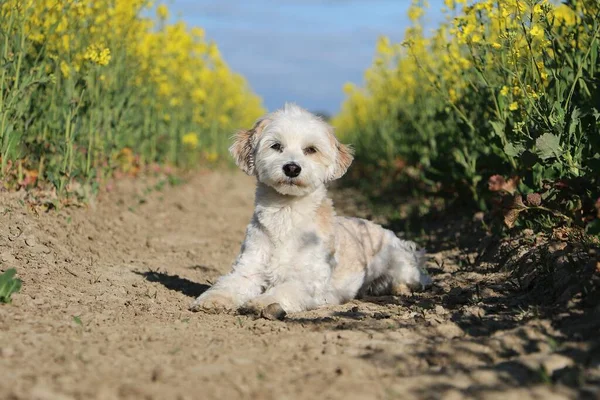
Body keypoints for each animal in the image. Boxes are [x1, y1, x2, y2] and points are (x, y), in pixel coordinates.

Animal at [190, 103, 428, 318]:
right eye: (276, 146)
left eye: (311, 150)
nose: (292, 167)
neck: (286, 212)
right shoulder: (249, 268)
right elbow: (229, 284)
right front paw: (213, 299)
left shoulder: (308, 280)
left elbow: (284, 290)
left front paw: (262, 302)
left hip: (400, 263)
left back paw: (401, 289)